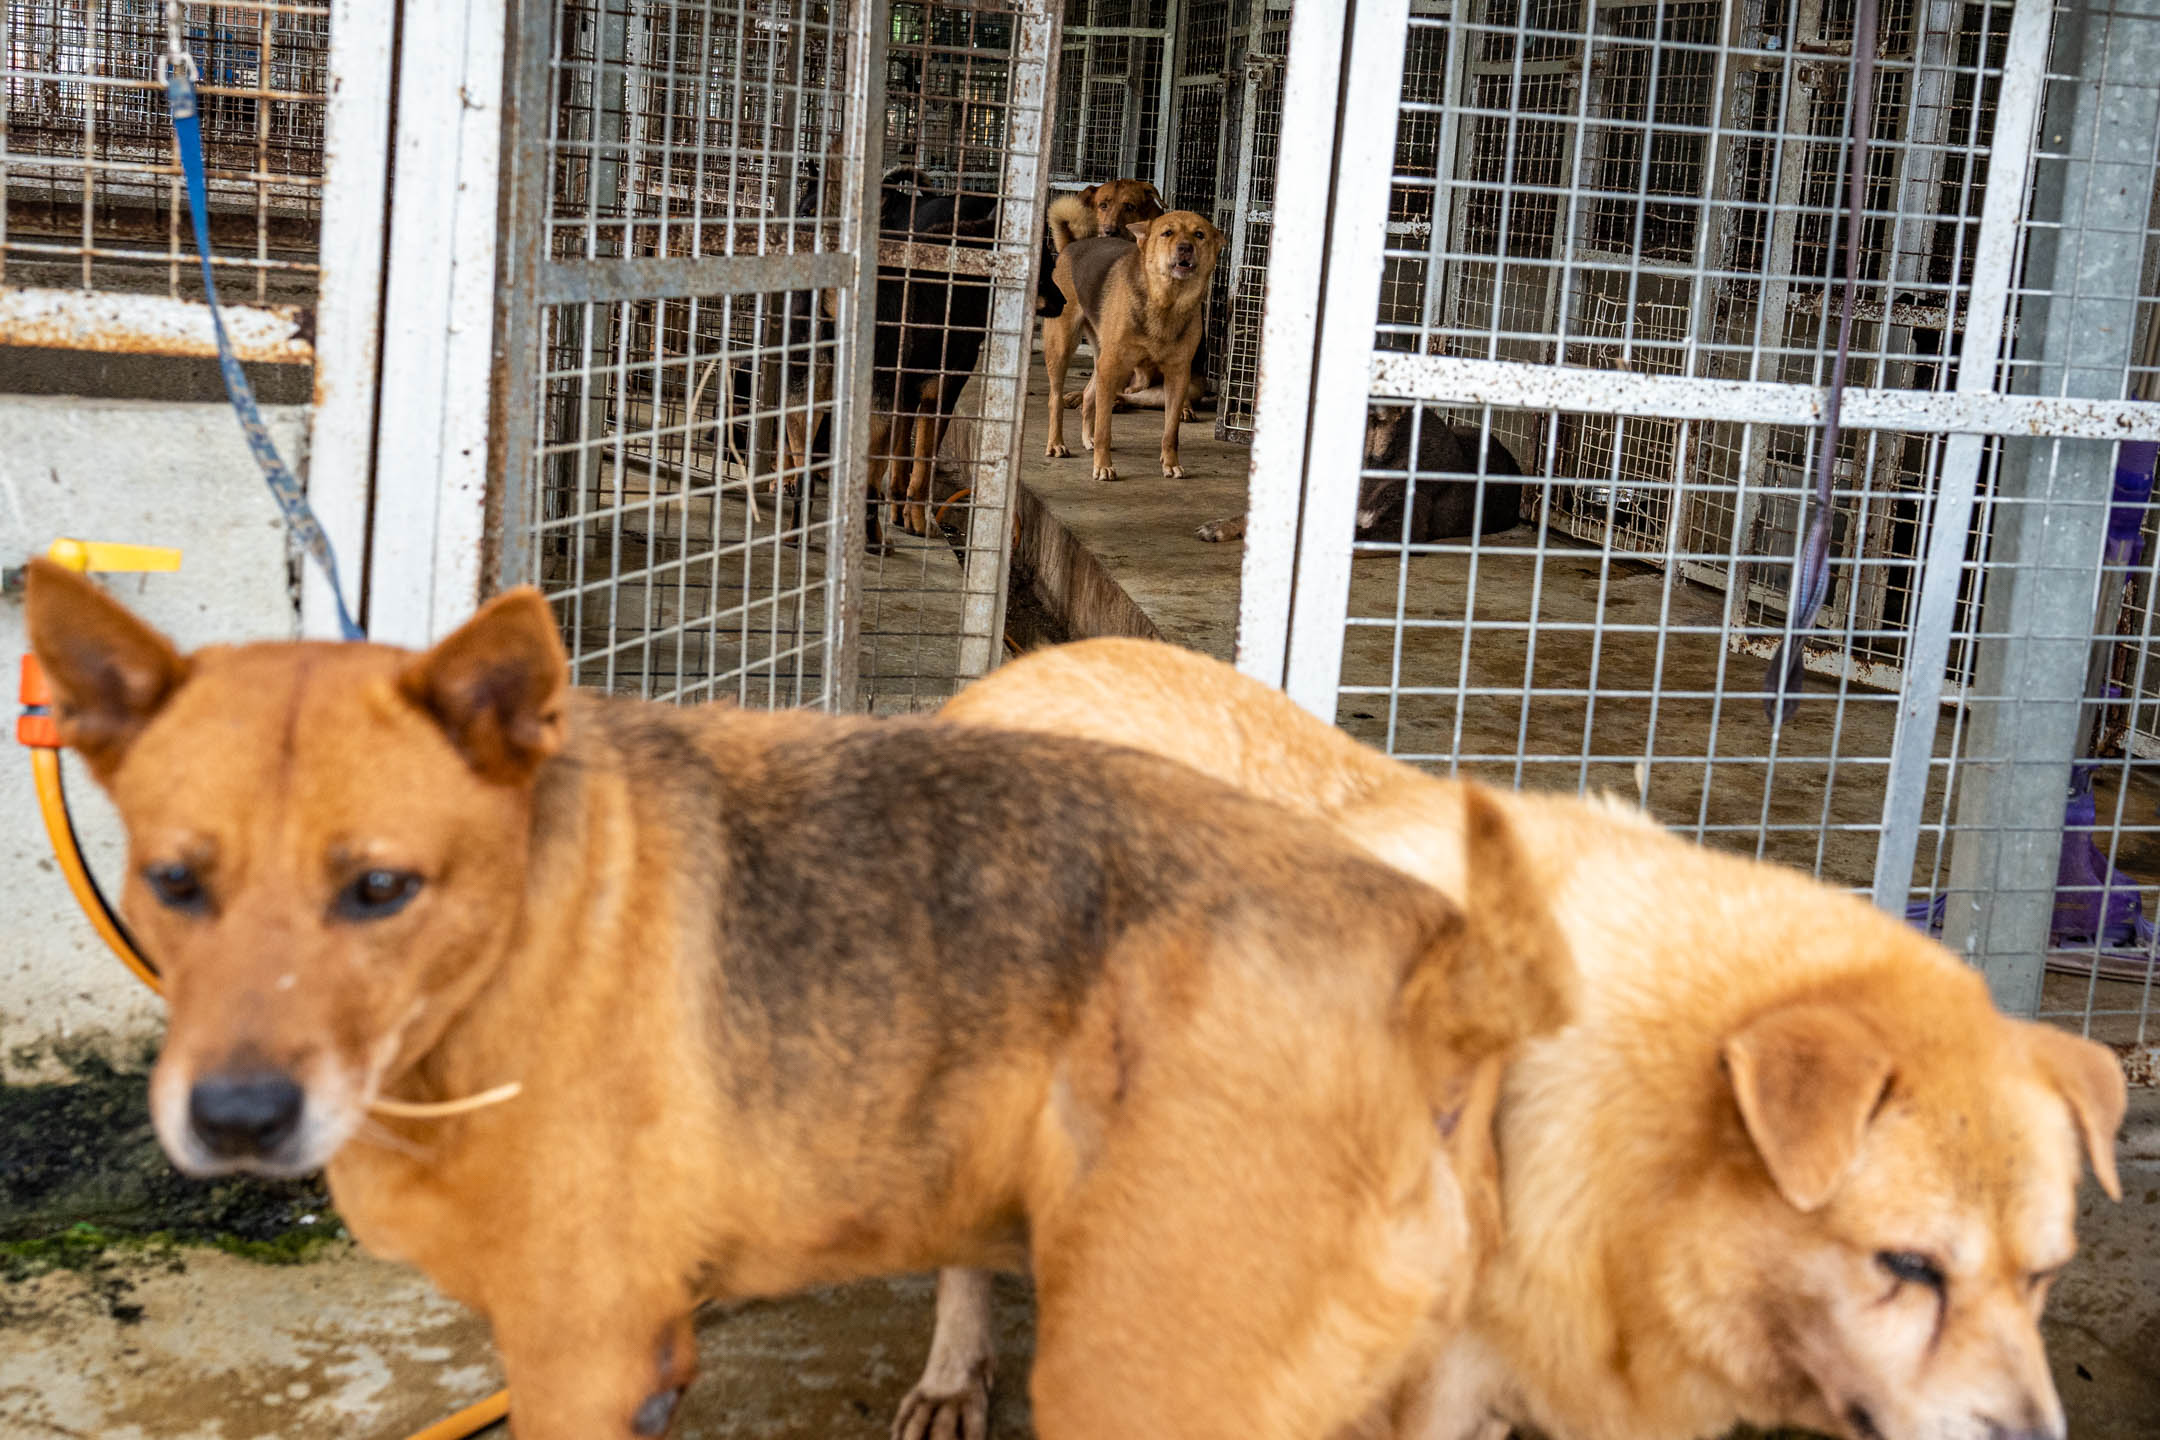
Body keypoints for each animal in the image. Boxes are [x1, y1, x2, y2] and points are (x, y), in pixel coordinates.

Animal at [1041, 208, 1226, 481]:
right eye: (1167, 233)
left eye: (1199, 235)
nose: (1185, 248)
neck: (1166, 302)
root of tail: (1071, 245)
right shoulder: (1111, 367)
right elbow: (1104, 429)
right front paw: (1103, 466)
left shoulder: (1178, 376)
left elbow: (1171, 431)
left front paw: (1170, 463)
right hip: (1064, 346)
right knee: (1056, 398)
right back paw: (1056, 443)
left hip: (1108, 360)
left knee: (1088, 395)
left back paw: (1087, 439)